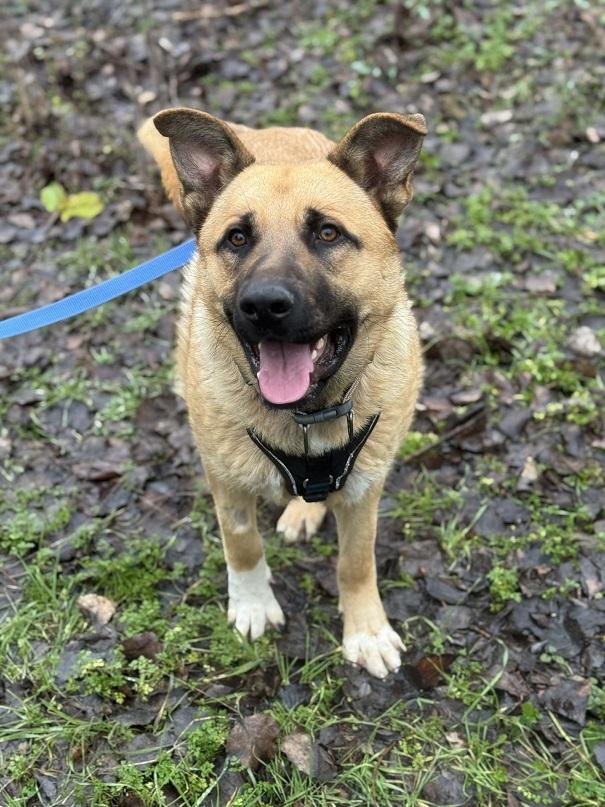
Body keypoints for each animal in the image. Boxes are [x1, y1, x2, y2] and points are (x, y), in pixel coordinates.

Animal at [138, 108, 426, 678]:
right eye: (236, 238)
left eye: (328, 233)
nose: (264, 305)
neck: (305, 418)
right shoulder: (225, 480)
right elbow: (243, 544)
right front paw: (253, 604)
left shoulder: (365, 490)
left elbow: (355, 561)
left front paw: (366, 629)